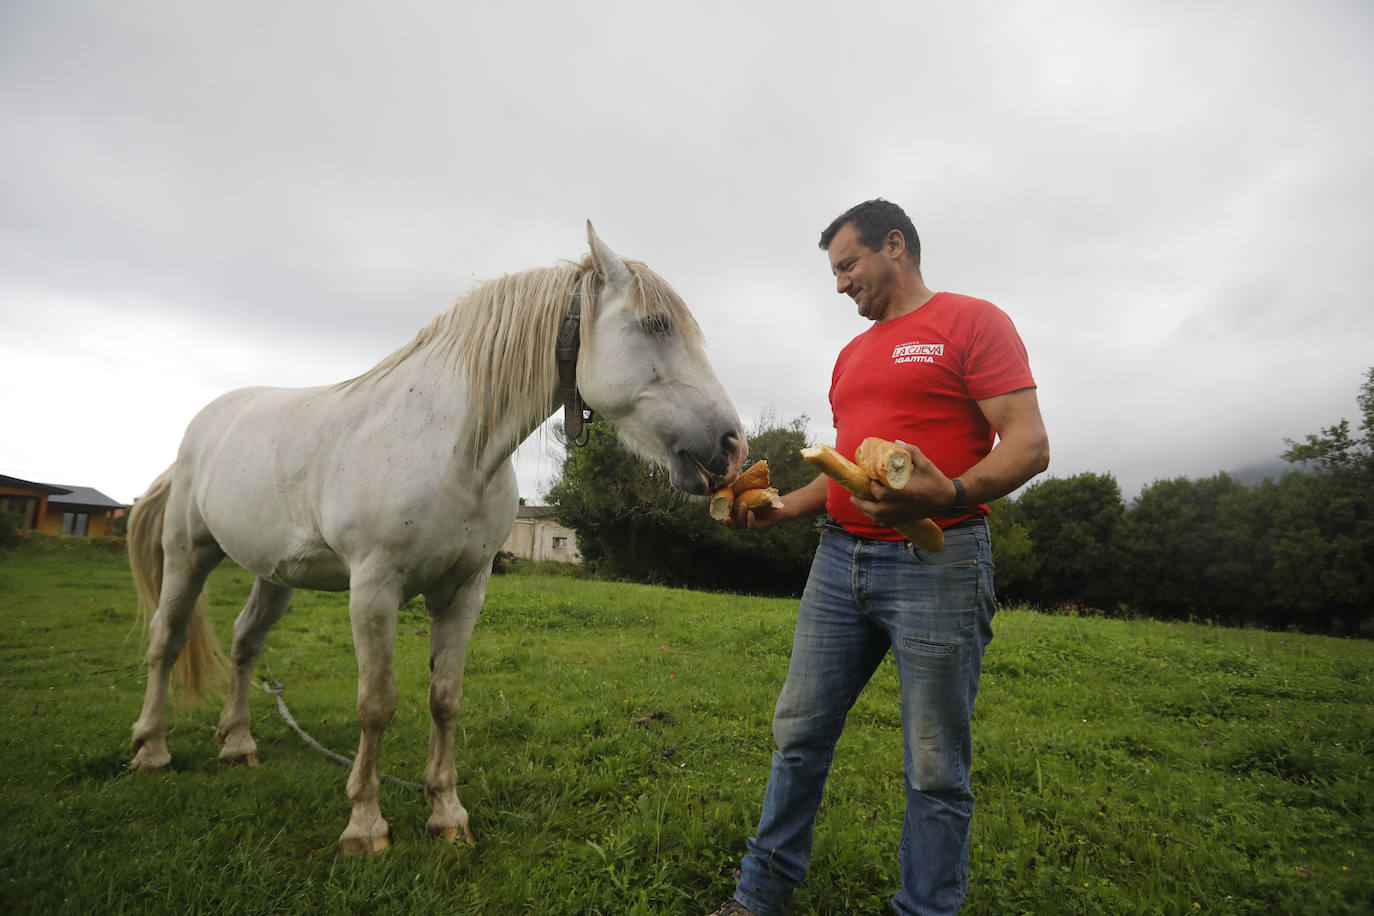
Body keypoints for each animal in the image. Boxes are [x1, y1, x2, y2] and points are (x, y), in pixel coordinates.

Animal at [127, 225, 747, 856]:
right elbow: (376, 705)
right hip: (188, 555)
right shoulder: (373, 589)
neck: (453, 448)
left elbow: (444, 699)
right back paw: (151, 749)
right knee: (166, 641)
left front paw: (447, 814)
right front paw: (365, 825)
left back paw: (237, 744)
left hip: (274, 575)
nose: (731, 446)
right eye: (656, 325)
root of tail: (204, 426)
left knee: (244, 642)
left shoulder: (464, 591)